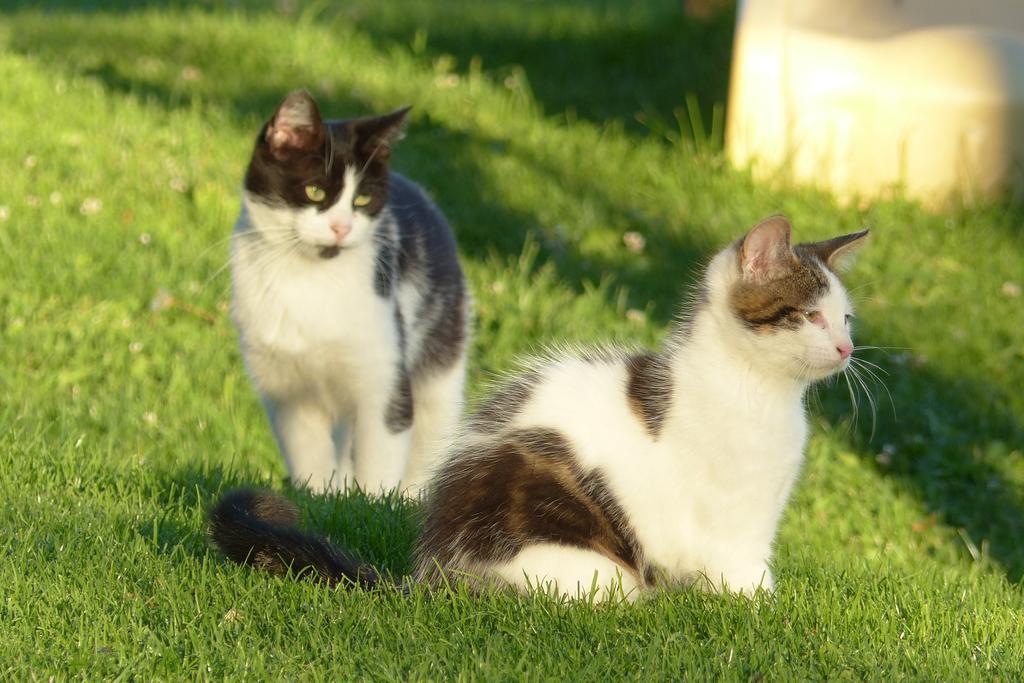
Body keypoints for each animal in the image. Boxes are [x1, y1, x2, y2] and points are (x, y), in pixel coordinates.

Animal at [230, 92, 468, 497]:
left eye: (363, 200)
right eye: (315, 191)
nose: (341, 227)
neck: (308, 279)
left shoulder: (384, 377)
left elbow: (381, 456)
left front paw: (375, 502)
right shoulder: (289, 392)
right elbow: (308, 455)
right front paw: (319, 498)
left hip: (443, 351)